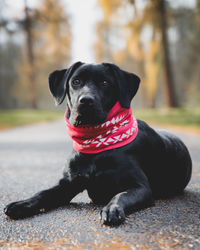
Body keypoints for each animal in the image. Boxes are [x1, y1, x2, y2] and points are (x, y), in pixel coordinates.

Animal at [4, 62, 192, 225]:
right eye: (76, 81)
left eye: (105, 82)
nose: (86, 100)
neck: (95, 145)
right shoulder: (66, 185)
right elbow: (42, 194)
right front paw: (21, 204)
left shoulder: (140, 187)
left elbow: (120, 195)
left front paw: (112, 209)